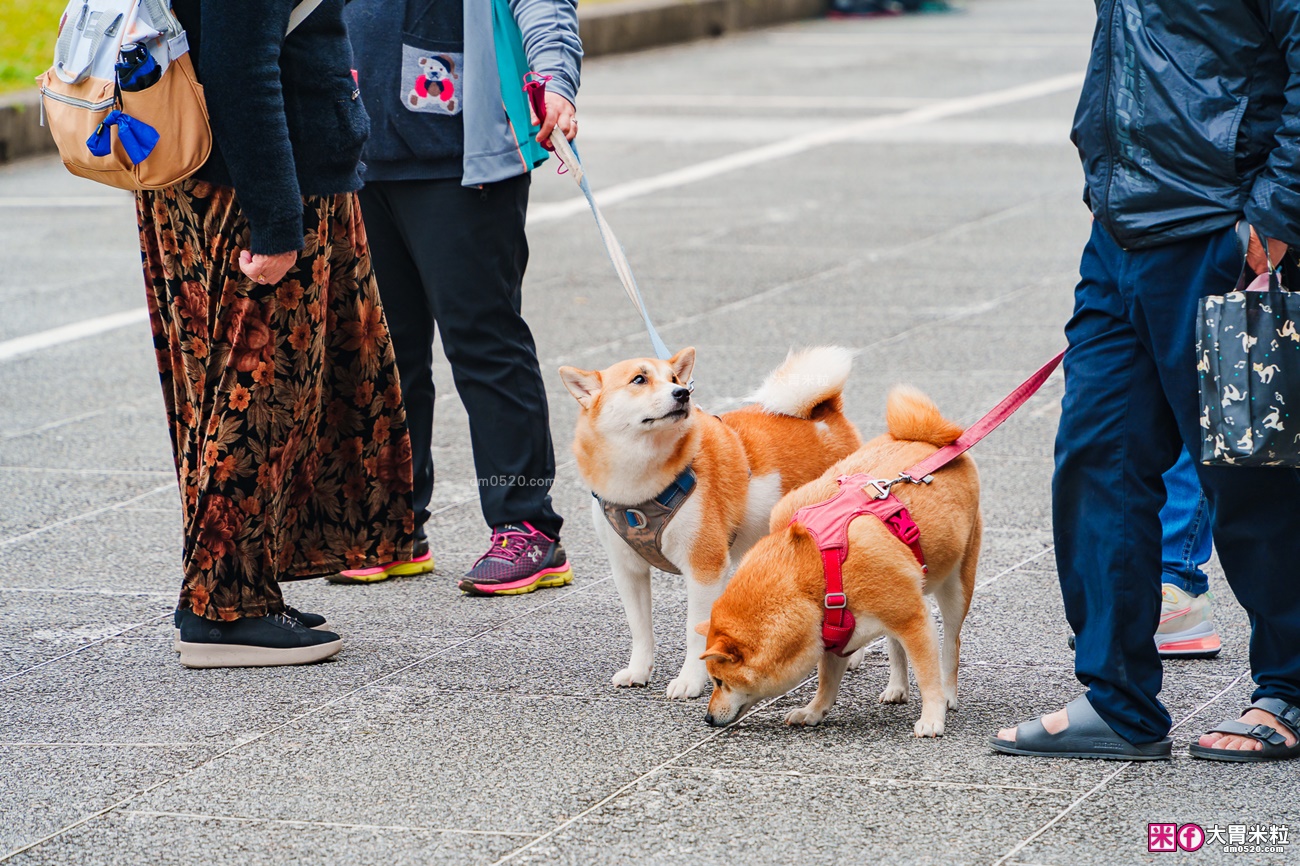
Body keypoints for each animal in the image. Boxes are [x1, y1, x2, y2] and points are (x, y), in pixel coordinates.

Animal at [559, 343, 863, 696]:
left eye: (674, 379)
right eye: (639, 379)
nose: (681, 393)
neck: (640, 487)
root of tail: (826, 415)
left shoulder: (704, 567)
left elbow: (694, 631)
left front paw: (690, 681)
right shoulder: (627, 570)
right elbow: (640, 629)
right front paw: (638, 670)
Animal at [696, 387, 977, 733]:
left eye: (719, 681)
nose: (707, 718)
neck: (811, 569)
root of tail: (928, 441)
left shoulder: (912, 619)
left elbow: (927, 675)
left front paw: (932, 717)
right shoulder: (834, 634)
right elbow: (827, 681)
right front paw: (814, 711)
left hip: (956, 587)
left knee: (951, 644)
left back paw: (949, 694)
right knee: (895, 646)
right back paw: (897, 687)